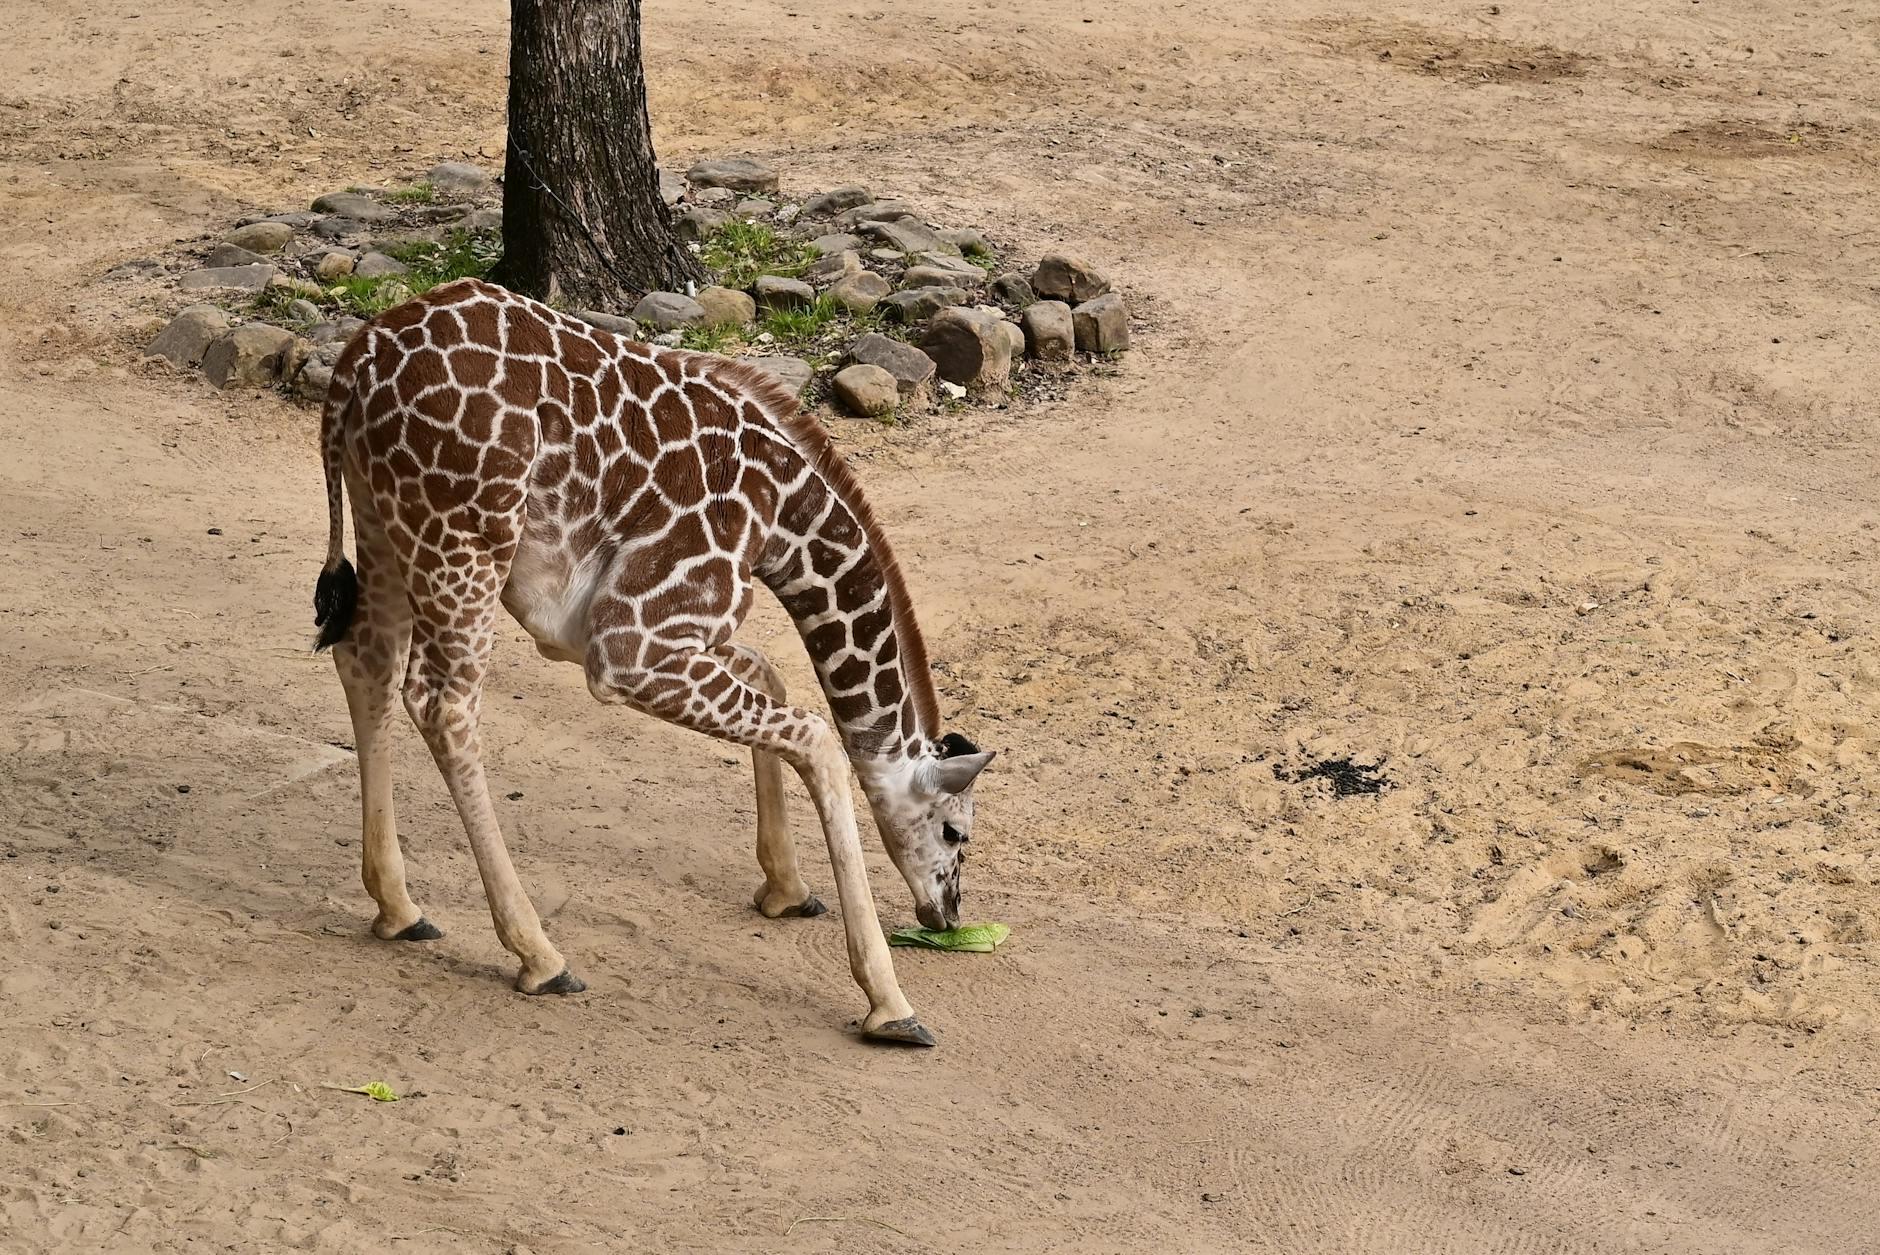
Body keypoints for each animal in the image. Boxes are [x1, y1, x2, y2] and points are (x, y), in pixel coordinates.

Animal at [310, 276, 994, 1046]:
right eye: (956, 831)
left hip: (384, 522)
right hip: (464, 540)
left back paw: (398, 908)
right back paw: (539, 954)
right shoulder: (628, 645)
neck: (784, 522)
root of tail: (356, 362)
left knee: (365, 659)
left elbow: (770, 670)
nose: (948, 913)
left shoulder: (626, 634)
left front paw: (786, 889)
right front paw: (889, 999)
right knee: (441, 702)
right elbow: (818, 736)